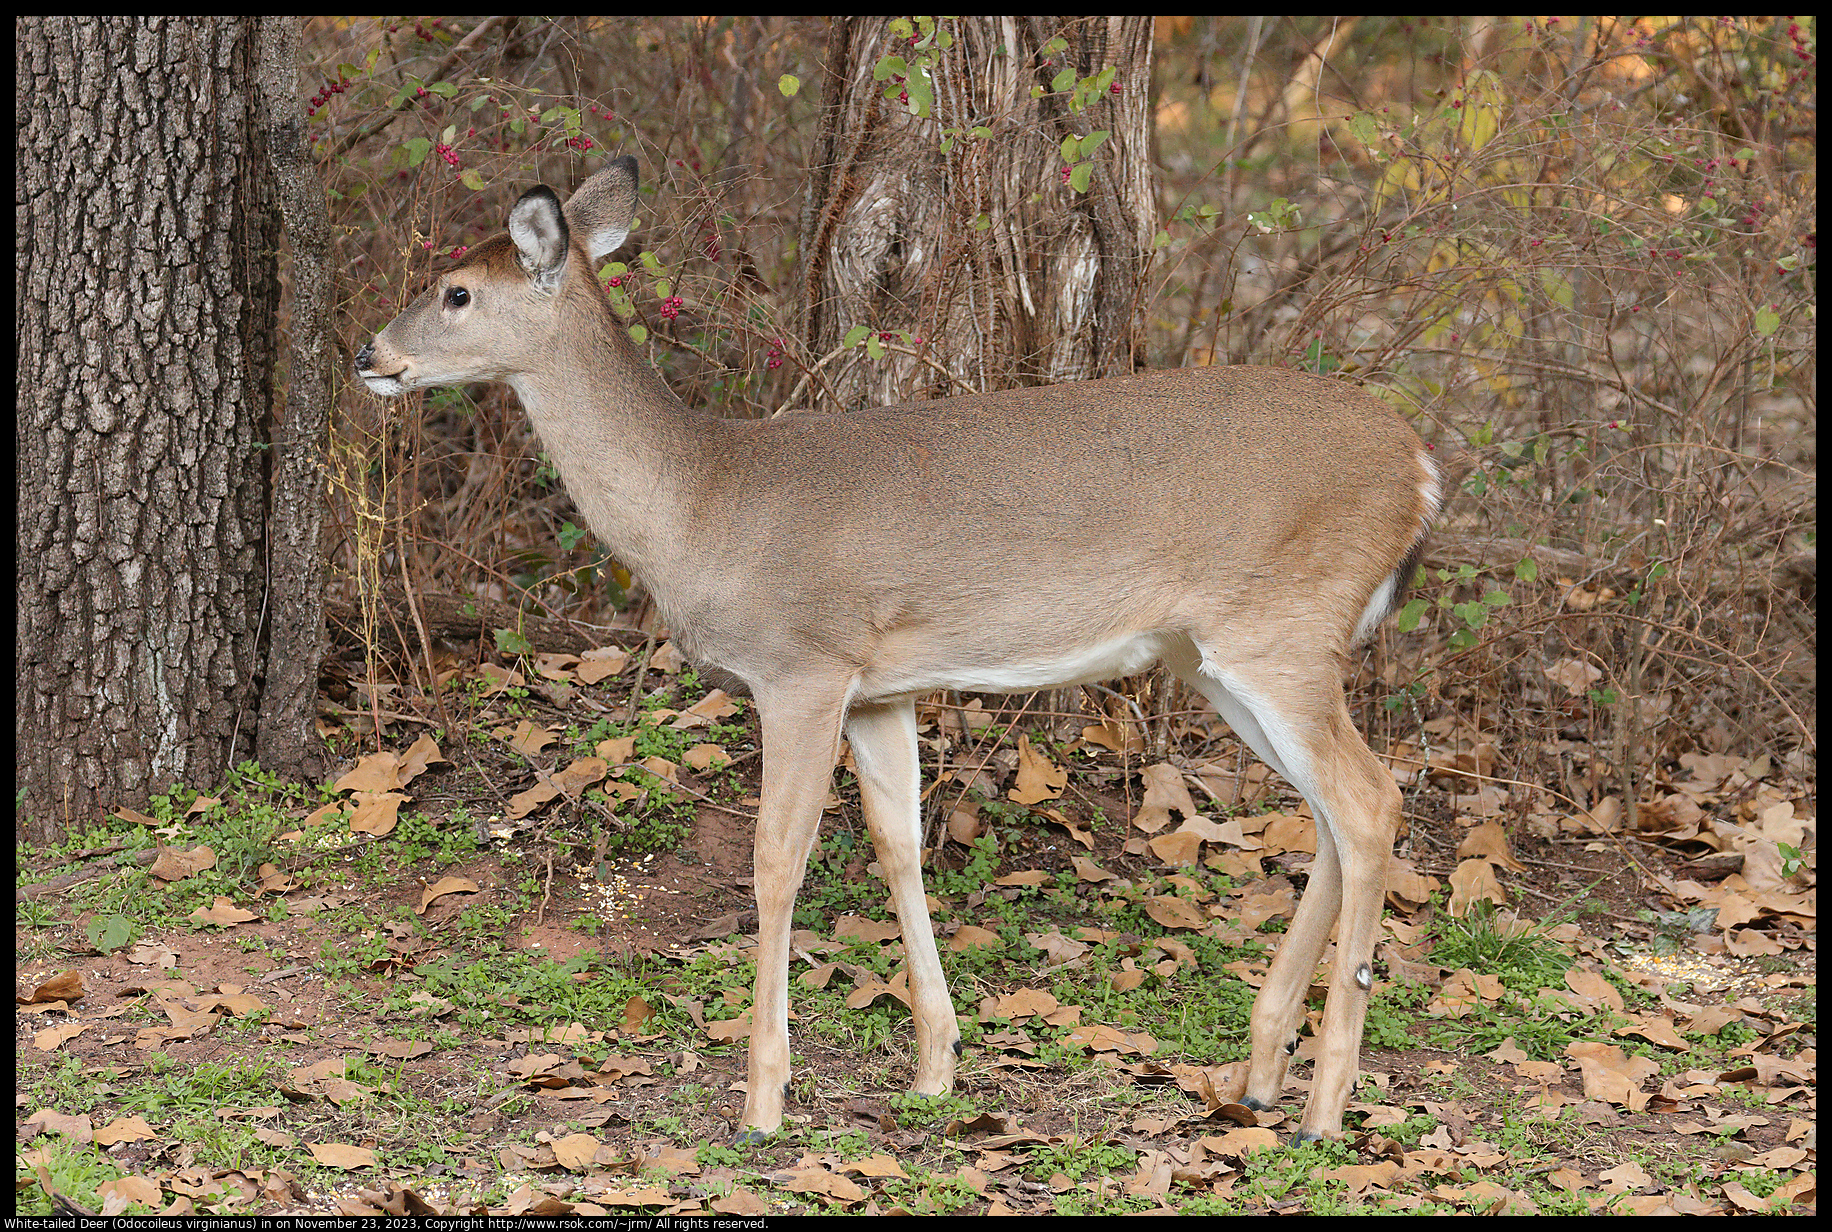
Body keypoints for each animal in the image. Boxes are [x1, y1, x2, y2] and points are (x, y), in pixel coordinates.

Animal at [357, 156, 1443, 1144]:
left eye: (456, 291)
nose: (370, 352)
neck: (701, 504)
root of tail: (1422, 465)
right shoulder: (881, 689)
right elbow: (898, 844)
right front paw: (934, 1069)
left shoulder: (802, 663)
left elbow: (775, 859)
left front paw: (762, 1104)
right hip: (1213, 657)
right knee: (1330, 816)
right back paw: (1257, 1079)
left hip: (1281, 628)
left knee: (1368, 800)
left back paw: (1322, 1111)